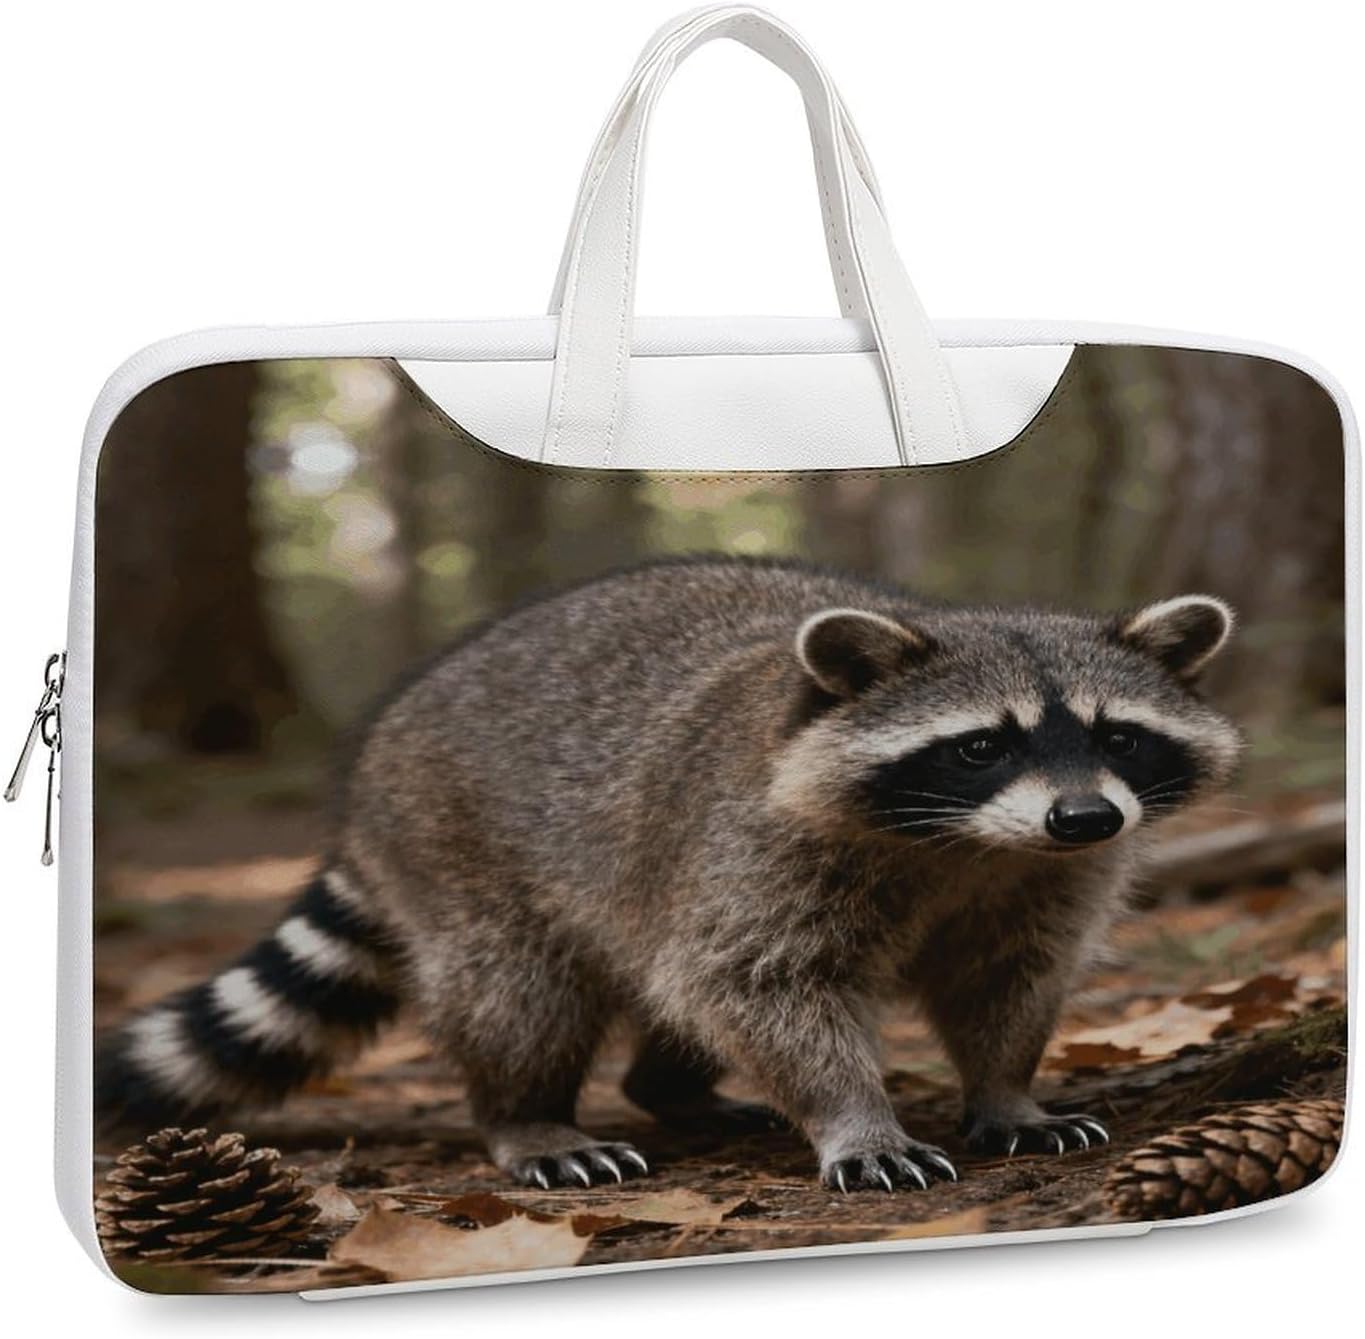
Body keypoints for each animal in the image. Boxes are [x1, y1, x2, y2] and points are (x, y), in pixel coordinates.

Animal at [97, 557, 1239, 1192]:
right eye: (979, 747)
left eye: (1119, 737)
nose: (1085, 817)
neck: (968, 844)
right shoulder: (760, 842)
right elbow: (764, 985)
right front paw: (853, 1112)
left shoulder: (1038, 879)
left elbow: (1006, 980)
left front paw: (1006, 1088)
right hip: (457, 844)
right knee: (524, 993)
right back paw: (523, 1112)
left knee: (662, 981)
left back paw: (670, 1086)